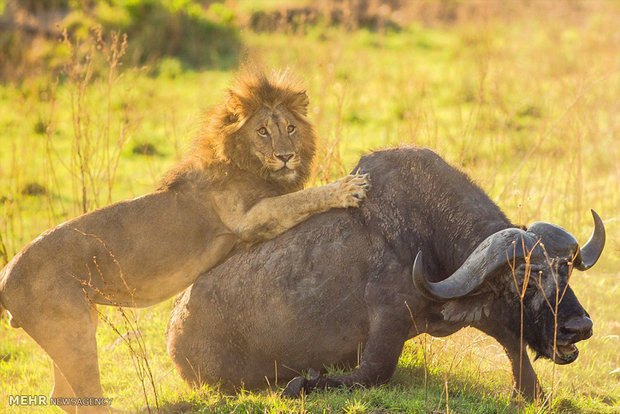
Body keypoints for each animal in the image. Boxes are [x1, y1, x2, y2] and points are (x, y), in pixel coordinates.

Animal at [0, 69, 368, 412]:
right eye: (263, 131)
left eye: (290, 128)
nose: (286, 156)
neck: (249, 165)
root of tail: (5, 276)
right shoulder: (248, 220)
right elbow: (303, 198)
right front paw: (347, 188)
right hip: (72, 330)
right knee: (87, 396)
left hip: (76, 323)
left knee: (63, 395)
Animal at [166, 147, 604, 400]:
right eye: (524, 279)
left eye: (566, 270)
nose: (578, 327)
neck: (428, 239)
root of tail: (174, 334)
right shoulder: (388, 324)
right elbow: (373, 374)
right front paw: (305, 382)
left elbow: (523, 365)